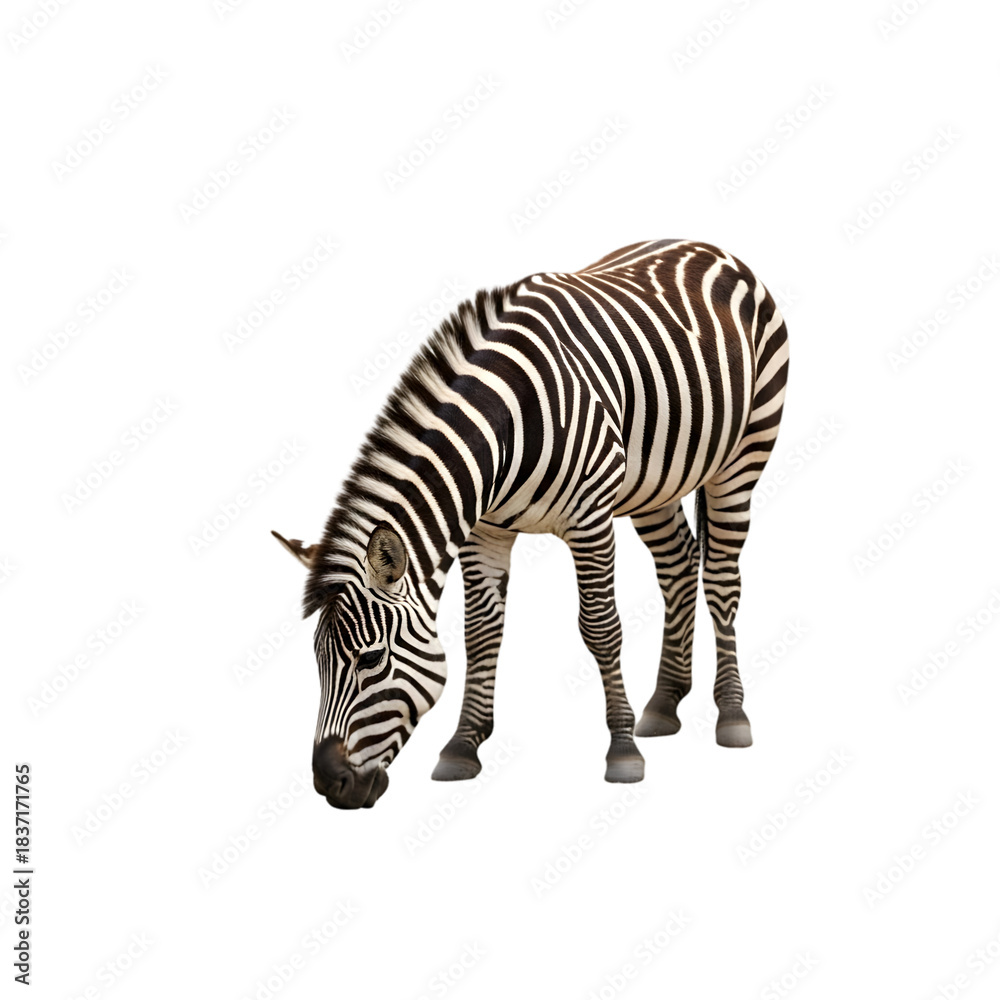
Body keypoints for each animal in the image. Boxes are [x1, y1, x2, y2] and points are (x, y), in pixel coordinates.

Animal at [274, 239, 789, 809]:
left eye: (370, 660)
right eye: (317, 662)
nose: (329, 783)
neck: (503, 428)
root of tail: (707, 246)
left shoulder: (591, 520)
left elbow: (601, 629)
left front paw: (622, 750)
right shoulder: (485, 532)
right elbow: (481, 635)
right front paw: (463, 745)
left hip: (742, 456)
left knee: (721, 578)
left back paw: (732, 713)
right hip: (654, 482)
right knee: (678, 566)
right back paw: (664, 703)